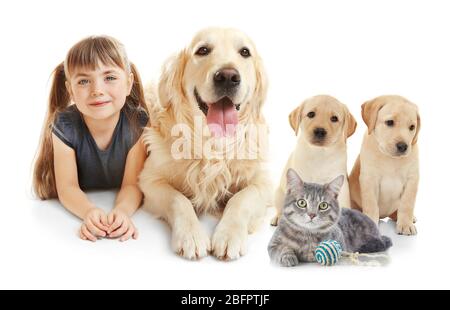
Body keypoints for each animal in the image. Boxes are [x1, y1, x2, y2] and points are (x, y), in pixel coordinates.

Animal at [350, 94, 420, 235]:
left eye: (412, 127)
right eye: (389, 122)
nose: (403, 146)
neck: (390, 159)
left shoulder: (412, 179)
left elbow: (407, 204)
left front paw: (406, 224)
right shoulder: (369, 180)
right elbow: (371, 205)